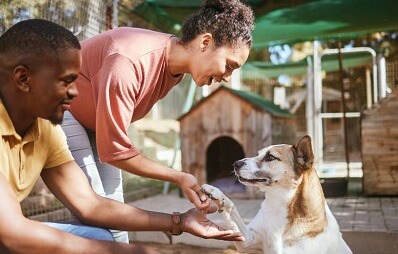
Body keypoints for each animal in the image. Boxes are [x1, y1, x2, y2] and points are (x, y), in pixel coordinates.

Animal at [202, 136, 352, 253]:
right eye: (258, 154)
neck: (281, 205)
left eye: (270, 157)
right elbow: (231, 207)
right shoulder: (248, 240)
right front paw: (216, 193)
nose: (236, 163)